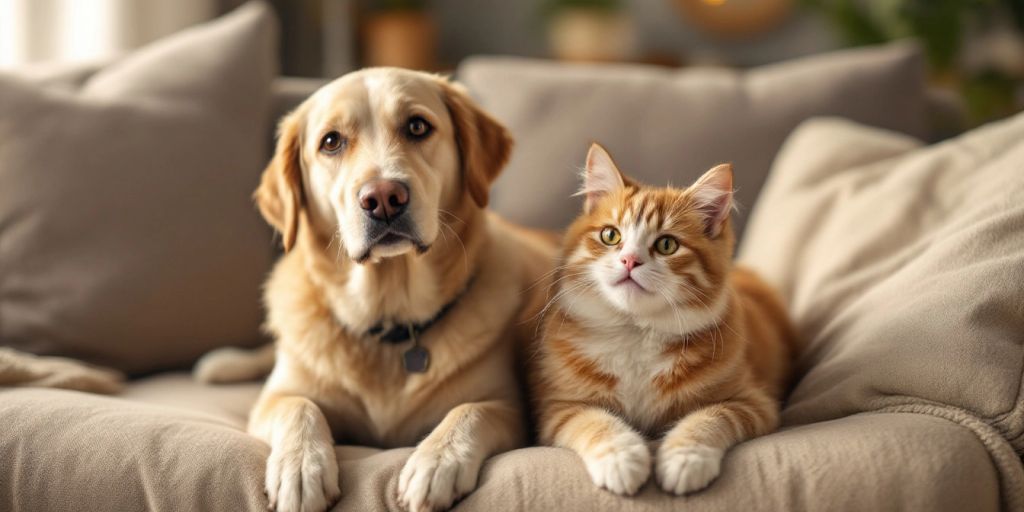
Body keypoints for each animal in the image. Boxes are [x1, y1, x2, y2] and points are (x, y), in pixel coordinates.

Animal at [194, 69, 557, 512]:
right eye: (331, 141)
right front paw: (300, 468)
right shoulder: (273, 400)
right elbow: (299, 406)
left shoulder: (509, 407)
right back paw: (224, 363)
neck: (389, 317)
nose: (384, 197)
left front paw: (436, 463)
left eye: (417, 126)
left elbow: (470, 411)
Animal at [532, 143, 794, 495]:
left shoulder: (752, 402)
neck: (637, 332)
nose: (629, 260)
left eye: (667, 244)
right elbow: (595, 422)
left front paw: (685, 459)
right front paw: (621, 459)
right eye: (610, 236)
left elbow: (710, 418)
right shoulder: (560, 407)